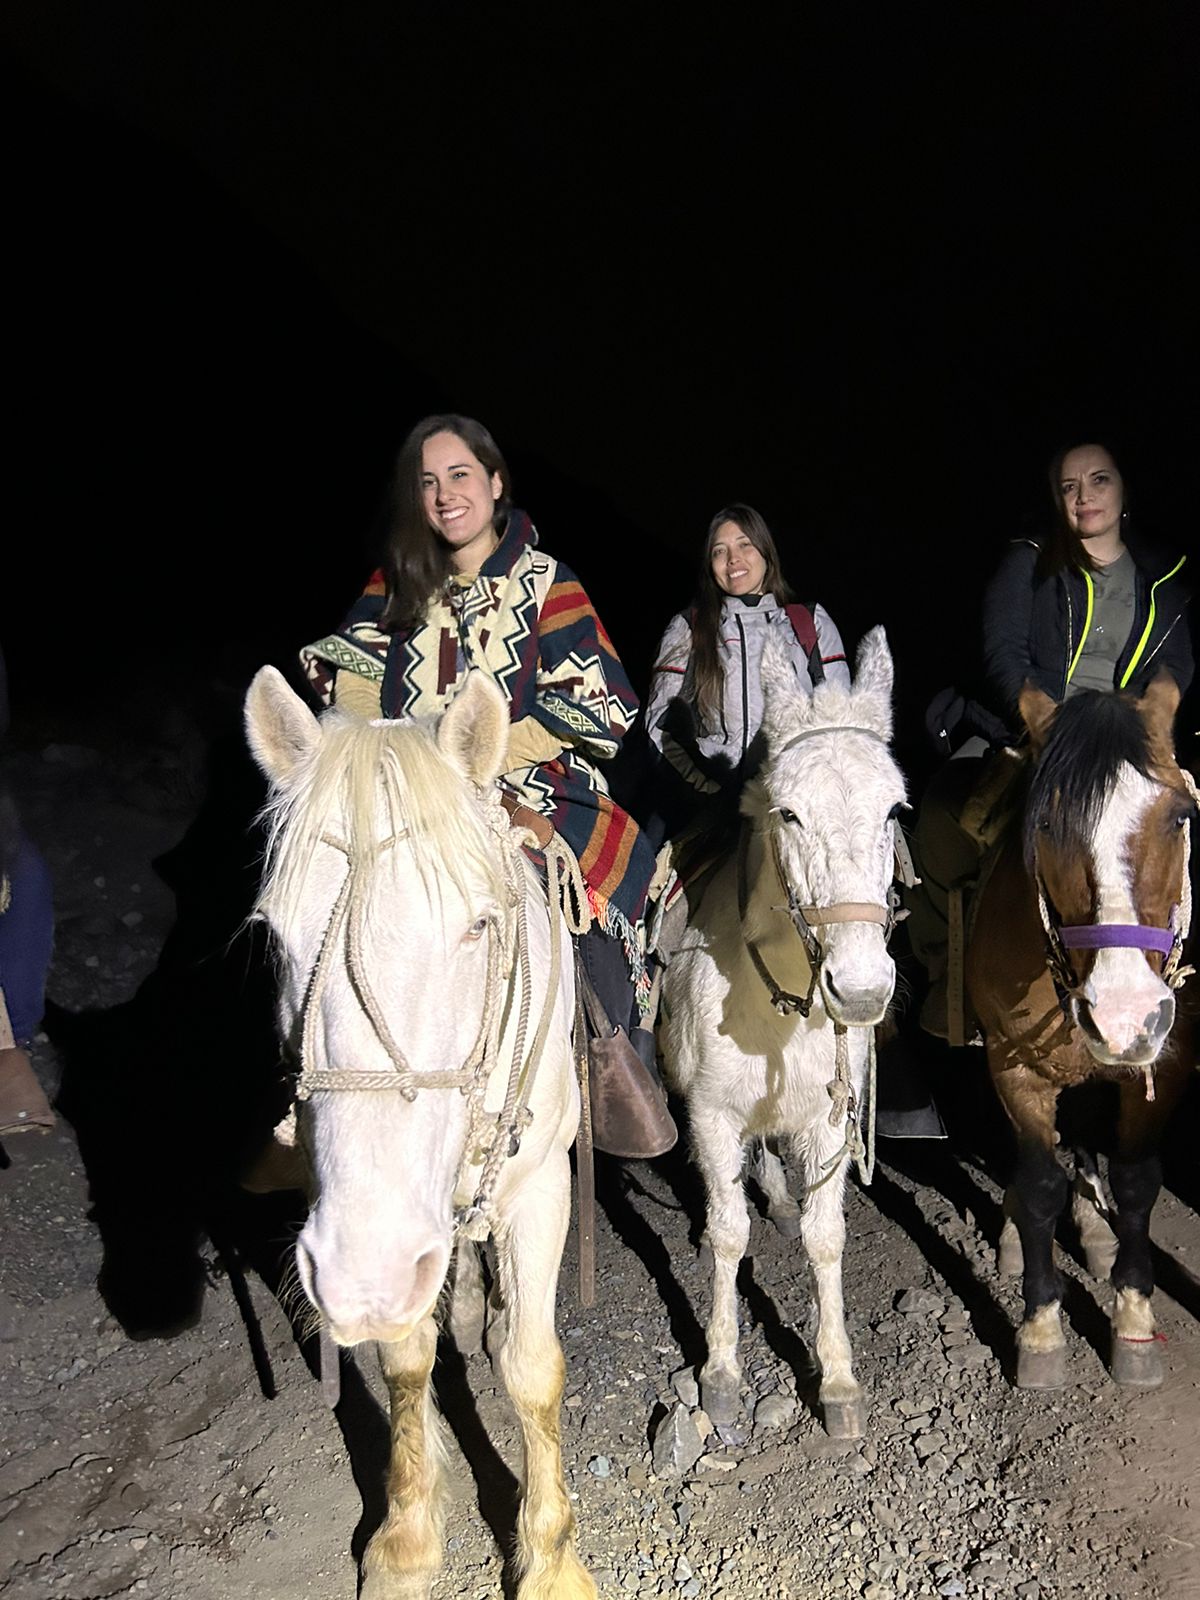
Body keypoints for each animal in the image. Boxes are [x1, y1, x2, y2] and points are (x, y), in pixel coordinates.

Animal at [244, 668, 598, 1600]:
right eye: (274, 937)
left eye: (478, 925)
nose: (362, 1279)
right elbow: (405, 1360)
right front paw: (405, 1540)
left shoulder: (540, 1188)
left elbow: (532, 1367)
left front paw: (551, 1559)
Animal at [662, 624, 908, 1440]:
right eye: (789, 814)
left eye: (893, 811)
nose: (861, 991)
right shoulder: (709, 1114)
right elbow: (728, 1234)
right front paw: (721, 1373)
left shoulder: (829, 1116)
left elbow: (824, 1235)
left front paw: (837, 1381)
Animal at [972, 675, 1196, 1388]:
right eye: (1045, 823)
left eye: (1180, 815)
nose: (1125, 1013)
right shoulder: (1013, 1066)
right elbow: (1040, 1181)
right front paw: (1041, 1326)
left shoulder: (1162, 1070)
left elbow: (1135, 1183)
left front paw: (1133, 1317)